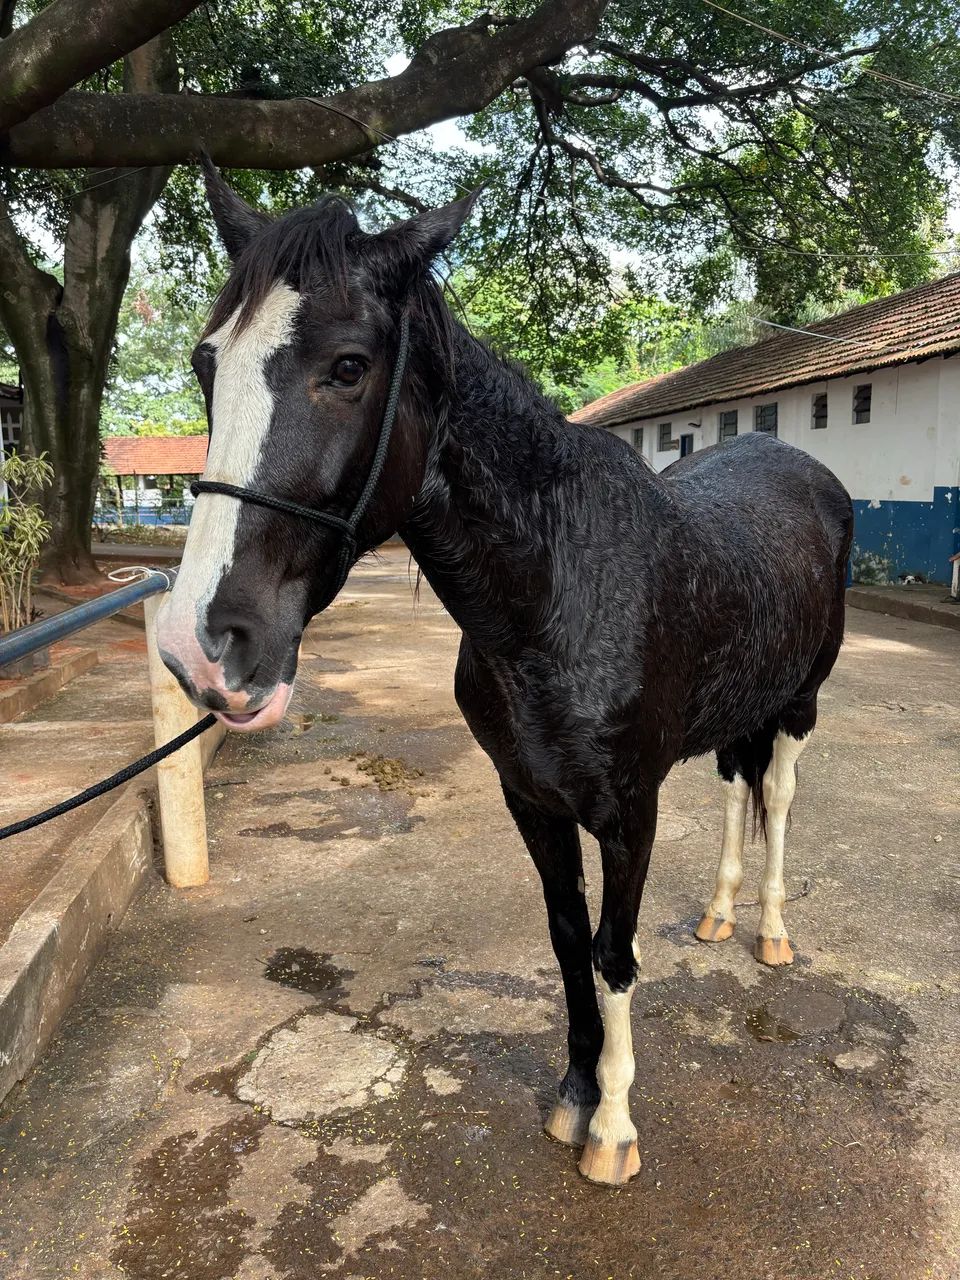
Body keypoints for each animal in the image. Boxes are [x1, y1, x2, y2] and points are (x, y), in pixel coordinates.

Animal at [157, 161, 854, 1187]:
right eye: (209, 364)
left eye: (349, 366)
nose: (202, 645)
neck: (557, 589)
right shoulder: (531, 798)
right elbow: (567, 941)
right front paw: (574, 1095)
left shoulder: (629, 808)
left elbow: (613, 953)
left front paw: (613, 1130)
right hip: (737, 713)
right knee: (738, 786)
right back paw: (721, 917)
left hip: (801, 703)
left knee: (781, 794)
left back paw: (769, 930)